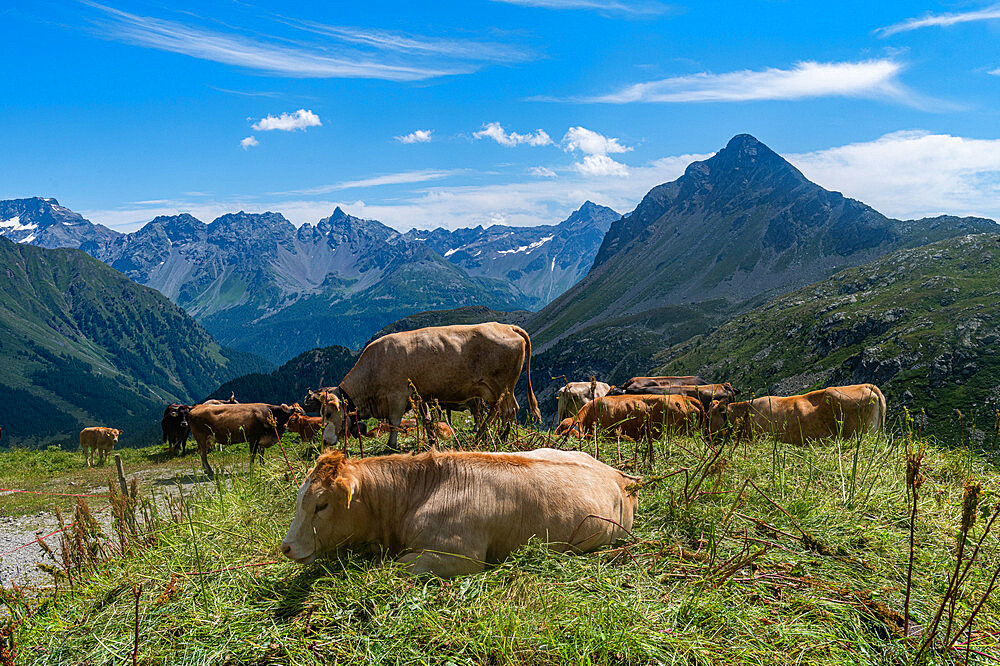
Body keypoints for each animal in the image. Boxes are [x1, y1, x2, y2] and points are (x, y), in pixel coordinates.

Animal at [312, 322, 548, 452]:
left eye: (328, 413)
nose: (325, 441)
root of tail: (506, 326)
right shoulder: (419, 395)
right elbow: (426, 420)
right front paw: (432, 441)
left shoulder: (397, 395)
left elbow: (394, 422)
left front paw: (391, 445)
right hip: (494, 390)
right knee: (498, 411)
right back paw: (481, 435)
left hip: (503, 385)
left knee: (509, 411)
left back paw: (501, 438)